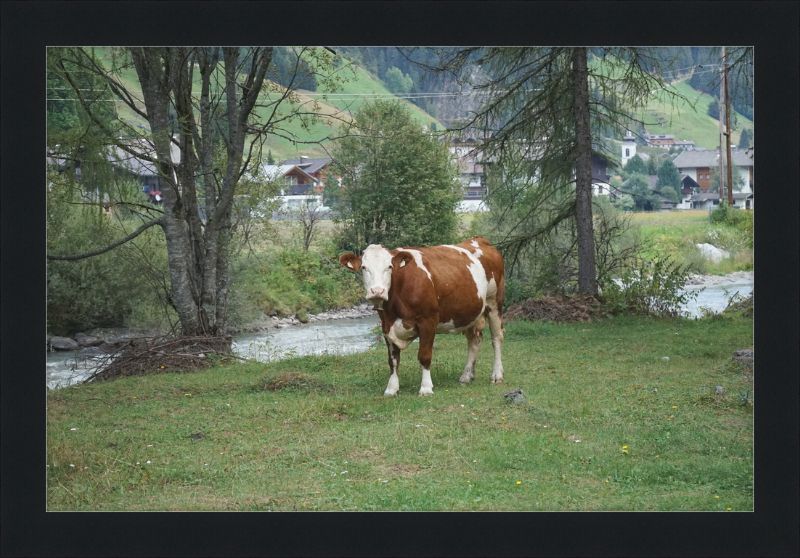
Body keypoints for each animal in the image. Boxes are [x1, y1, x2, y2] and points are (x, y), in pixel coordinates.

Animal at [340, 238, 506, 396]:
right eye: (364, 267)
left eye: (390, 267)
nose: (377, 291)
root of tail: (479, 240)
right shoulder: (386, 325)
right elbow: (393, 360)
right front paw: (391, 389)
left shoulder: (428, 322)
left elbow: (424, 356)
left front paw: (426, 388)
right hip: (470, 312)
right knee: (474, 341)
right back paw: (466, 376)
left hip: (494, 303)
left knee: (496, 338)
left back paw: (497, 375)